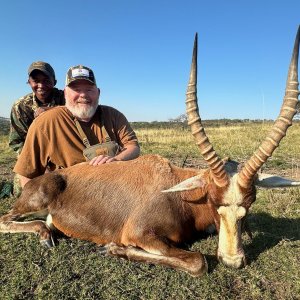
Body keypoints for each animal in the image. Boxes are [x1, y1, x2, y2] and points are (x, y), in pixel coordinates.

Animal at [0, 28, 300, 276]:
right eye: (214, 202)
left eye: (250, 204)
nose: (233, 261)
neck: (180, 195)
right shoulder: (141, 233)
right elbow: (198, 261)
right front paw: (114, 248)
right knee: (7, 219)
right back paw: (43, 235)